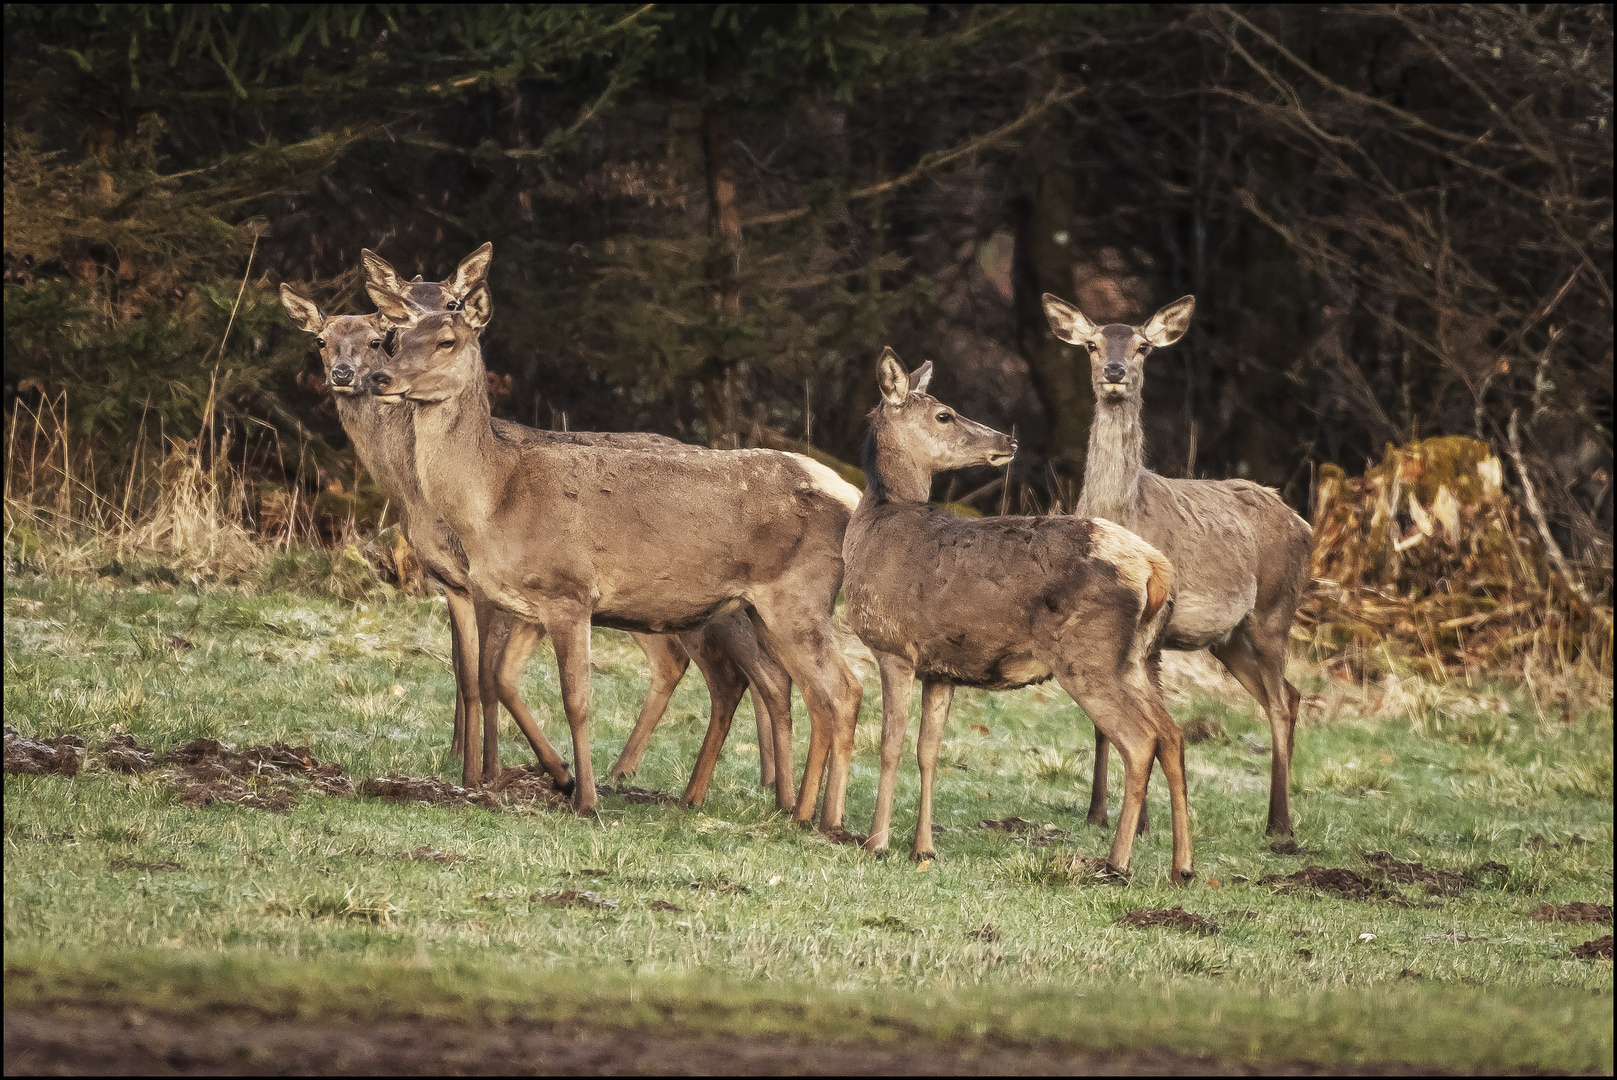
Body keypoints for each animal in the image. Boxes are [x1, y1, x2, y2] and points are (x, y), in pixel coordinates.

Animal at [279, 258, 795, 808]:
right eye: (322, 340)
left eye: (378, 339)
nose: (347, 375)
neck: (416, 495)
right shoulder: (454, 583)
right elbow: (468, 673)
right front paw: (472, 766)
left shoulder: (487, 583)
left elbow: (484, 677)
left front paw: (486, 774)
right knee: (720, 669)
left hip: (705, 608)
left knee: (743, 674)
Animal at [363, 278, 873, 827]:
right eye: (395, 337)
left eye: (446, 342)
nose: (378, 377)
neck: (495, 500)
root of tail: (850, 497)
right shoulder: (528, 604)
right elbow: (502, 679)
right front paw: (561, 776)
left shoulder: (568, 591)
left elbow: (576, 699)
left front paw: (586, 800)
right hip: (762, 609)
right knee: (806, 690)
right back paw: (794, 810)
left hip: (798, 596)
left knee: (842, 689)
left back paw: (827, 820)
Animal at [840, 350, 1196, 879]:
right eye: (944, 415)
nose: (1007, 440)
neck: (872, 529)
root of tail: (1156, 569)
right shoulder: (940, 667)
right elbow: (928, 751)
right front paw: (923, 848)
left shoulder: (892, 645)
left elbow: (890, 744)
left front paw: (877, 842)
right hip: (1138, 657)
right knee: (1172, 735)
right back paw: (1182, 866)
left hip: (1087, 654)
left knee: (1140, 740)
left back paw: (1117, 863)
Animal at [1034, 291, 1313, 840]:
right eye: (1092, 344)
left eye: (1143, 347)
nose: (1115, 370)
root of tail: (1302, 523)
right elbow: (1102, 723)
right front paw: (1097, 813)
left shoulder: (1155, 629)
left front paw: (1139, 823)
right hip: (1229, 638)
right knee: (1287, 695)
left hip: (1274, 610)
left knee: (1279, 701)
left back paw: (1281, 826)